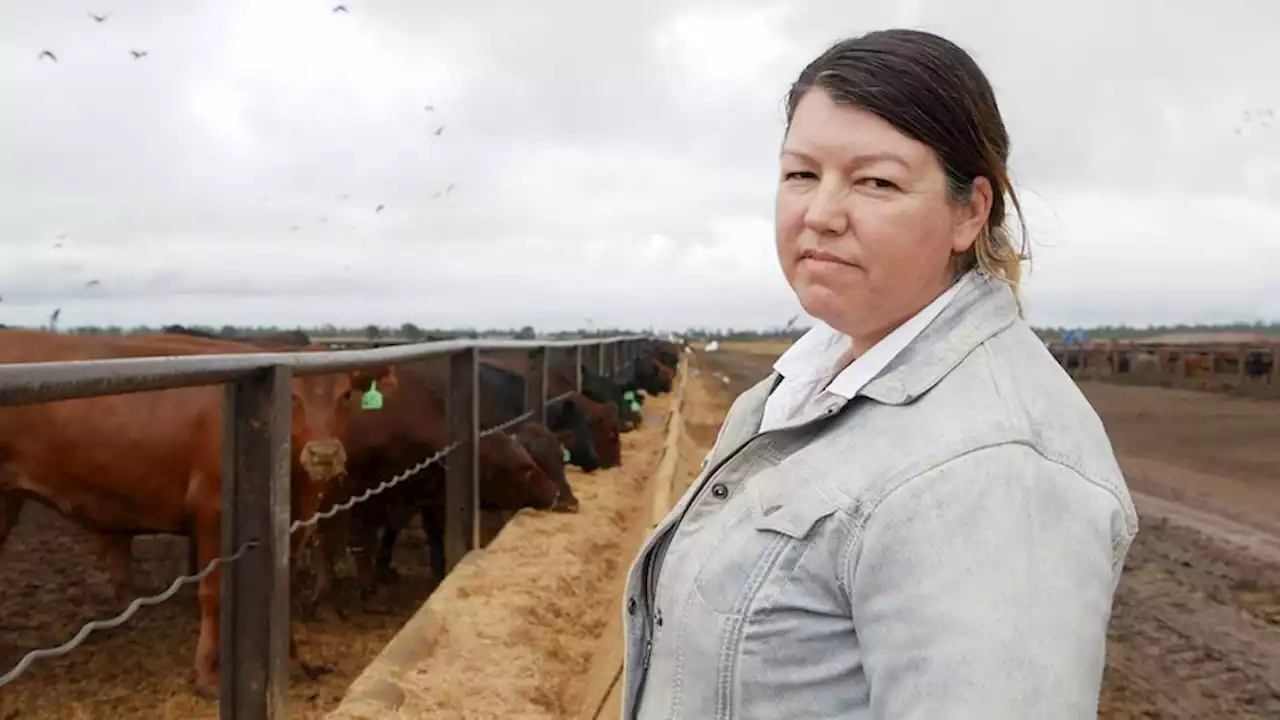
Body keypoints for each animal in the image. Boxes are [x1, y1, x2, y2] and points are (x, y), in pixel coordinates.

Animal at [0, 330, 394, 696]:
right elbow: (213, 593)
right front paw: (206, 673)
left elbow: (284, 589)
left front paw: (296, 662)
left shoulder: (293, 523)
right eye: (293, 397)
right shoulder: (212, 513)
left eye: (345, 395)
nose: (324, 455)